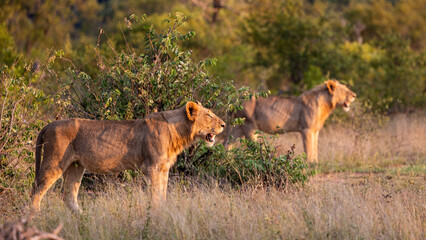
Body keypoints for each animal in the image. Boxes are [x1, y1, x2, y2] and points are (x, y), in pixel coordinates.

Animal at [30, 101, 226, 212]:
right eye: (208, 115)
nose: (224, 124)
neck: (178, 132)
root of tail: (49, 124)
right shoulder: (152, 167)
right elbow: (155, 194)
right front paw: (155, 215)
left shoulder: (163, 168)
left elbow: (162, 193)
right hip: (54, 162)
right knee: (36, 191)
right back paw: (36, 217)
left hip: (76, 166)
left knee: (69, 197)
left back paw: (82, 218)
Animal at [223, 80, 356, 163]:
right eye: (344, 90)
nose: (354, 95)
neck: (325, 105)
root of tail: (235, 102)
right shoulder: (307, 130)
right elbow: (308, 148)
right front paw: (310, 164)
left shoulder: (315, 131)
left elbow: (315, 148)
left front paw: (316, 162)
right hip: (249, 127)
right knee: (252, 147)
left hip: (237, 128)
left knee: (227, 144)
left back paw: (225, 161)